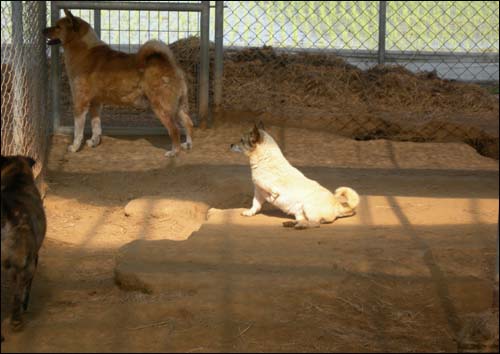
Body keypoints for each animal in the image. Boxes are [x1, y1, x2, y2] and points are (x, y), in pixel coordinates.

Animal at [43, 9, 193, 157]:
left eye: (57, 26)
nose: (43, 30)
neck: (84, 51)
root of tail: (169, 63)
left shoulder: (80, 103)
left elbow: (78, 132)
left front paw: (74, 147)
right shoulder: (95, 103)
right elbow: (96, 126)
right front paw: (94, 142)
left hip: (161, 107)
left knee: (175, 130)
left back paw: (174, 152)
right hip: (178, 106)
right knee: (188, 123)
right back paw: (188, 144)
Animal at [230, 122, 360, 230]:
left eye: (241, 140)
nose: (231, 144)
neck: (264, 159)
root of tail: (337, 205)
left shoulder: (266, 186)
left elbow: (270, 189)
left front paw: (273, 195)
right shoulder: (258, 192)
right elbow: (255, 205)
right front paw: (249, 212)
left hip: (308, 206)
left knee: (315, 223)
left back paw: (300, 226)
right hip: (299, 213)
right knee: (304, 220)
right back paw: (292, 223)